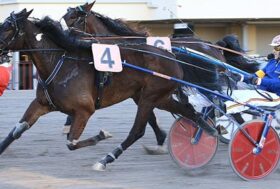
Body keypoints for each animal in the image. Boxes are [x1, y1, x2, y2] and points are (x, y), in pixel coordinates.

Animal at [0, 9, 217, 171]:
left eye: (8, 28)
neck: (60, 63)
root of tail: (171, 55)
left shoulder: (84, 110)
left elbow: (72, 142)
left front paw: (102, 135)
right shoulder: (41, 104)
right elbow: (16, 131)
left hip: (149, 97)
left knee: (137, 131)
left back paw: (106, 159)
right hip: (158, 97)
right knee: (188, 112)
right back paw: (207, 133)